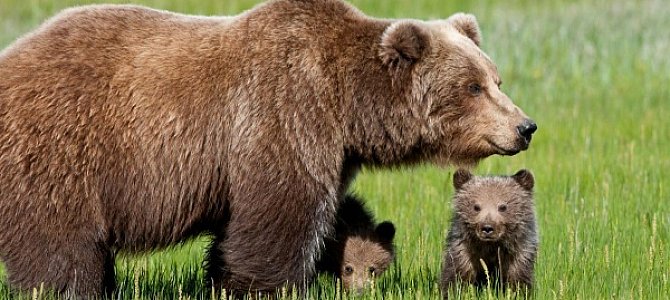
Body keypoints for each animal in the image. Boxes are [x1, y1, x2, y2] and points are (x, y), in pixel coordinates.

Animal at [0, 0, 536, 296]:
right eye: (472, 86)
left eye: (495, 78)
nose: (525, 126)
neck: (347, 104)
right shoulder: (283, 113)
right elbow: (279, 216)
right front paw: (264, 286)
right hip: (62, 149)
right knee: (59, 241)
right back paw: (71, 288)